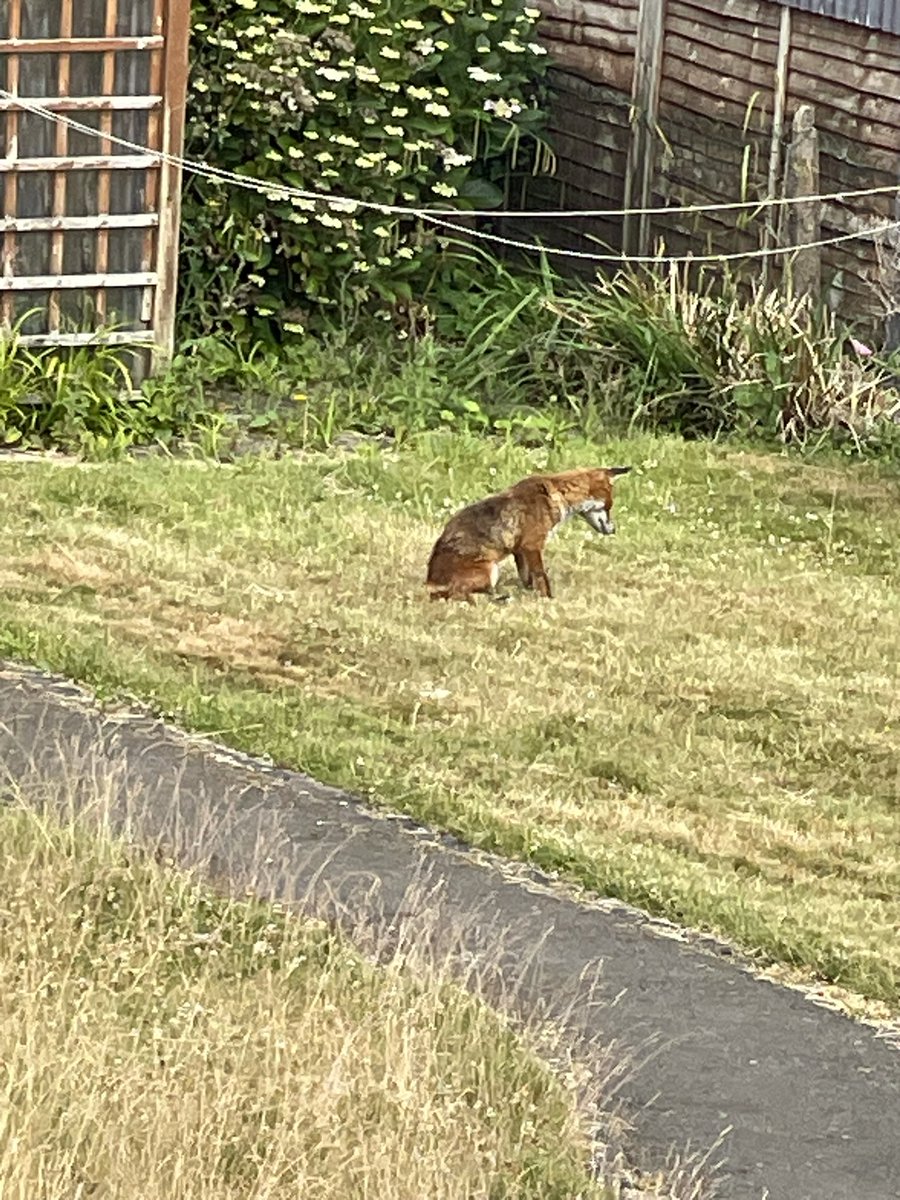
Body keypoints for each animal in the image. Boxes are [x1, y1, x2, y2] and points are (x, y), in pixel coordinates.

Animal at [426, 466, 631, 602]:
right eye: (608, 507)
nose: (613, 530)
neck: (556, 495)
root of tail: (428, 582)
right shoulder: (532, 545)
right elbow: (541, 577)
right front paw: (547, 600)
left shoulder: (520, 549)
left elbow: (527, 578)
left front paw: (528, 594)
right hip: (491, 570)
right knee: (457, 593)